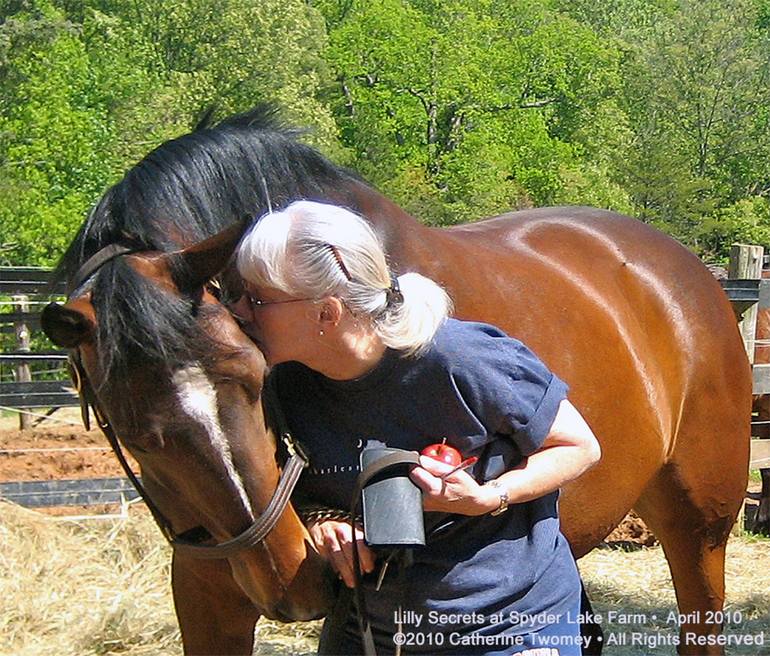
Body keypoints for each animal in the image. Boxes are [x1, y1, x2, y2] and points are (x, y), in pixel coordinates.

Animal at [41, 106, 750, 655]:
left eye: (256, 375)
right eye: (133, 428)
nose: (290, 578)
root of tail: (691, 271)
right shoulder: (205, 589)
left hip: (700, 525)